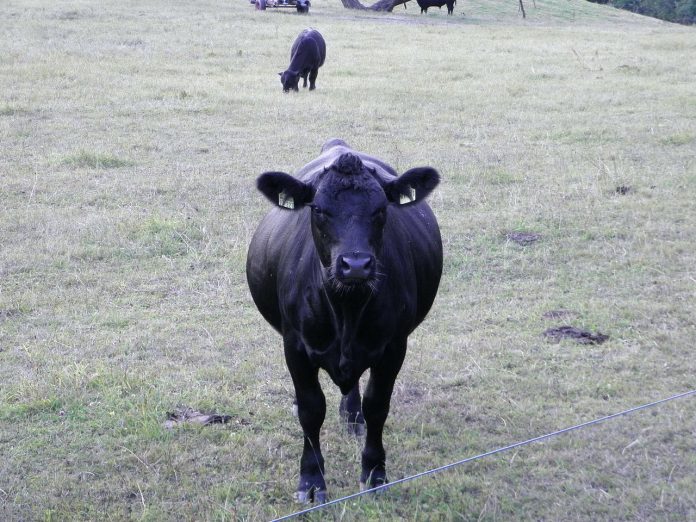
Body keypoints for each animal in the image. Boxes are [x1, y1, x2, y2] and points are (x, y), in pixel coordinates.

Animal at [246, 138, 443, 502]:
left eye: (381, 210)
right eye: (319, 210)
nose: (355, 265)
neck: (346, 309)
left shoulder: (394, 346)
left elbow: (377, 405)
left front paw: (375, 473)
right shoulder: (295, 345)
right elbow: (311, 409)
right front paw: (311, 481)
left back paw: (352, 415)